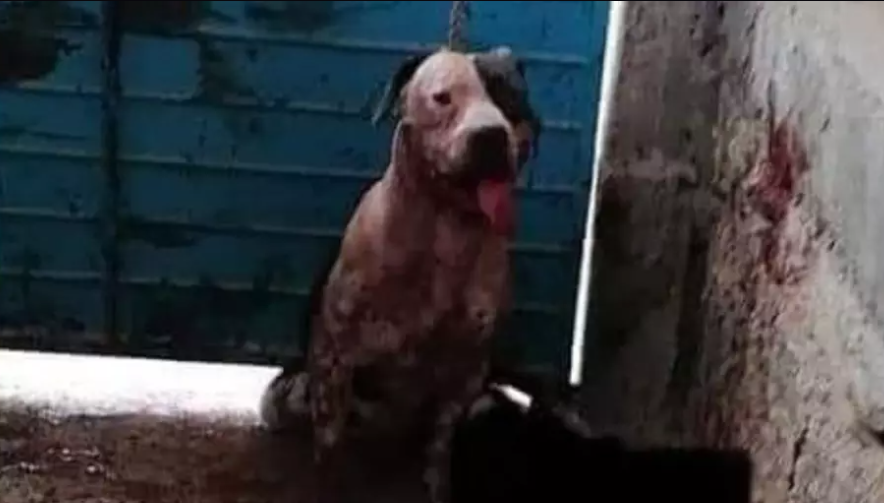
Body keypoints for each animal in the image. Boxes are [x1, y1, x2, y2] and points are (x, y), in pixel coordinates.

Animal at [259, 46, 541, 503]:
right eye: (442, 98)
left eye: (508, 96)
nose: (489, 135)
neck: (445, 235)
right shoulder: (333, 356)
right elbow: (330, 445)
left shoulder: (465, 374)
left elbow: (440, 451)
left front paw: (436, 485)